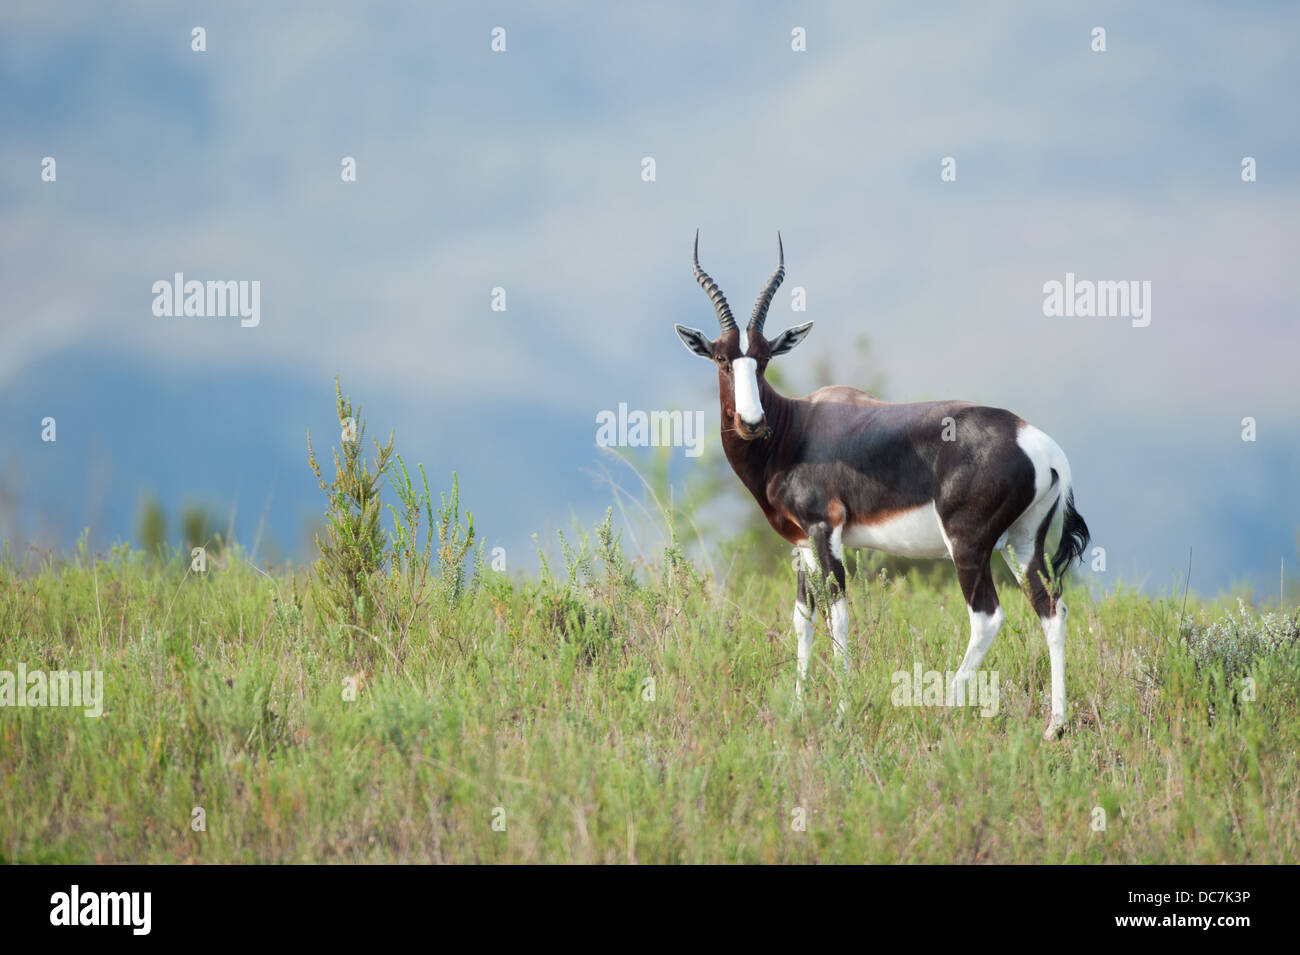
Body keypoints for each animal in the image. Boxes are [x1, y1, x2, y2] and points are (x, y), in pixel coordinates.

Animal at [676, 233, 1092, 738]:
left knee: (988, 617)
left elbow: (838, 617)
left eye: (764, 357)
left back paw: (943, 709)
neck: (797, 427)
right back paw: (1055, 727)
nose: (752, 423)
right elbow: (802, 618)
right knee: (1051, 609)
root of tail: (1037, 443)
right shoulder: (802, 543)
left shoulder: (826, 531)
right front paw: (797, 708)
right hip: (1024, 543)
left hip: (969, 545)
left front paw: (841, 712)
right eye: (722, 357)